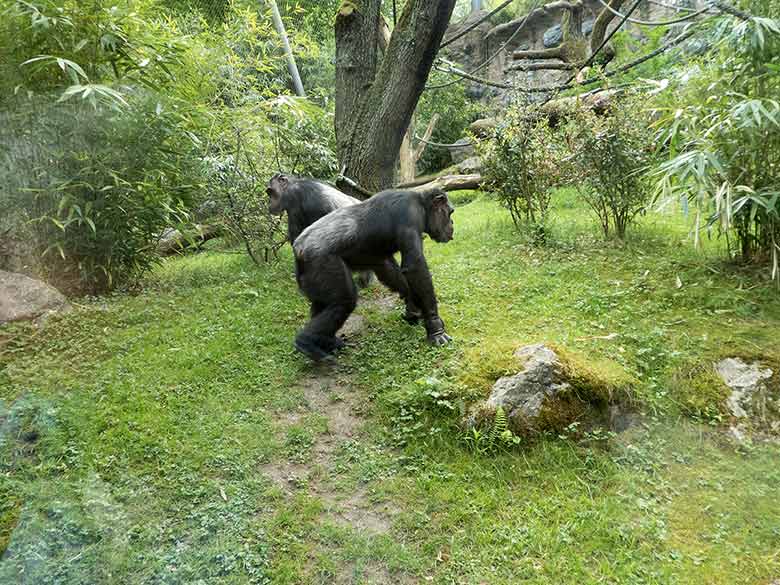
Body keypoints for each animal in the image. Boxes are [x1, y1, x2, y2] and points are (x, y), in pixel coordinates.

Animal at [290, 187, 454, 360]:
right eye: (450, 213)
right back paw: (306, 342)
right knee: (344, 301)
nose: (452, 224)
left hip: (311, 276)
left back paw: (327, 342)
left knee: (322, 304)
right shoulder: (410, 215)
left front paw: (413, 308)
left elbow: (387, 267)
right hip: (323, 263)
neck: (421, 205)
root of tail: (298, 248)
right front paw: (435, 328)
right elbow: (415, 267)